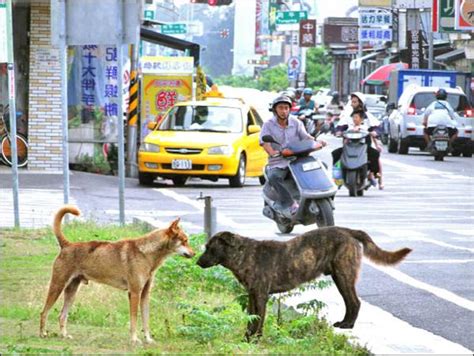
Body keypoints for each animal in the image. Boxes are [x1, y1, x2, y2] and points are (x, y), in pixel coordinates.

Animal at [39, 204, 195, 344]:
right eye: (185, 241)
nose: (194, 254)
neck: (145, 253)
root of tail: (67, 245)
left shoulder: (145, 294)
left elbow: (145, 320)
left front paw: (148, 339)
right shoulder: (134, 293)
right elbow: (134, 319)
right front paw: (134, 340)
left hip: (72, 291)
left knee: (62, 316)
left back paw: (64, 335)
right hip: (57, 286)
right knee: (44, 312)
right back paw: (43, 334)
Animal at [196, 227, 412, 340]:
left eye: (210, 248)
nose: (197, 262)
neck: (243, 255)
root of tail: (347, 231)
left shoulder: (261, 296)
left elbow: (259, 320)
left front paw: (255, 340)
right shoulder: (251, 295)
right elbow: (251, 318)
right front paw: (247, 338)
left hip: (343, 275)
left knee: (355, 302)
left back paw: (348, 325)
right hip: (339, 277)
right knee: (351, 302)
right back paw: (344, 323)